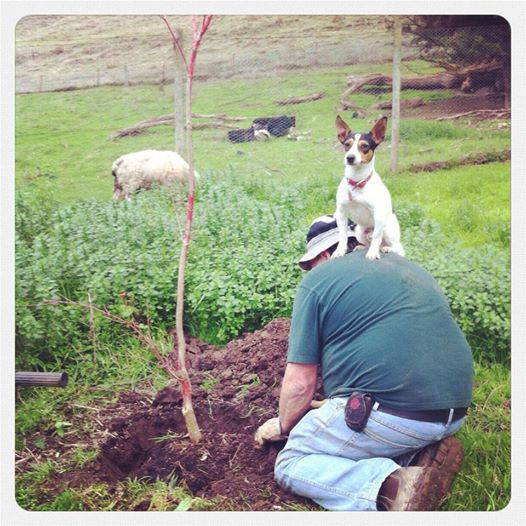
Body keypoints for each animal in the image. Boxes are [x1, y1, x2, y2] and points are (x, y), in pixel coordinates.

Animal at [334, 117, 404, 262]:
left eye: (364, 146)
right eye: (347, 144)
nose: (350, 157)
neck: (356, 182)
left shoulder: (379, 214)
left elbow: (377, 237)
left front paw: (373, 253)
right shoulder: (341, 213)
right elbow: (343, 236)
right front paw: (339, 251)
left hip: (387, 227)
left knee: (397, 247)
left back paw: (387, 248)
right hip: (359, 231)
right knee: (368, 242)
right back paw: (361, 247)